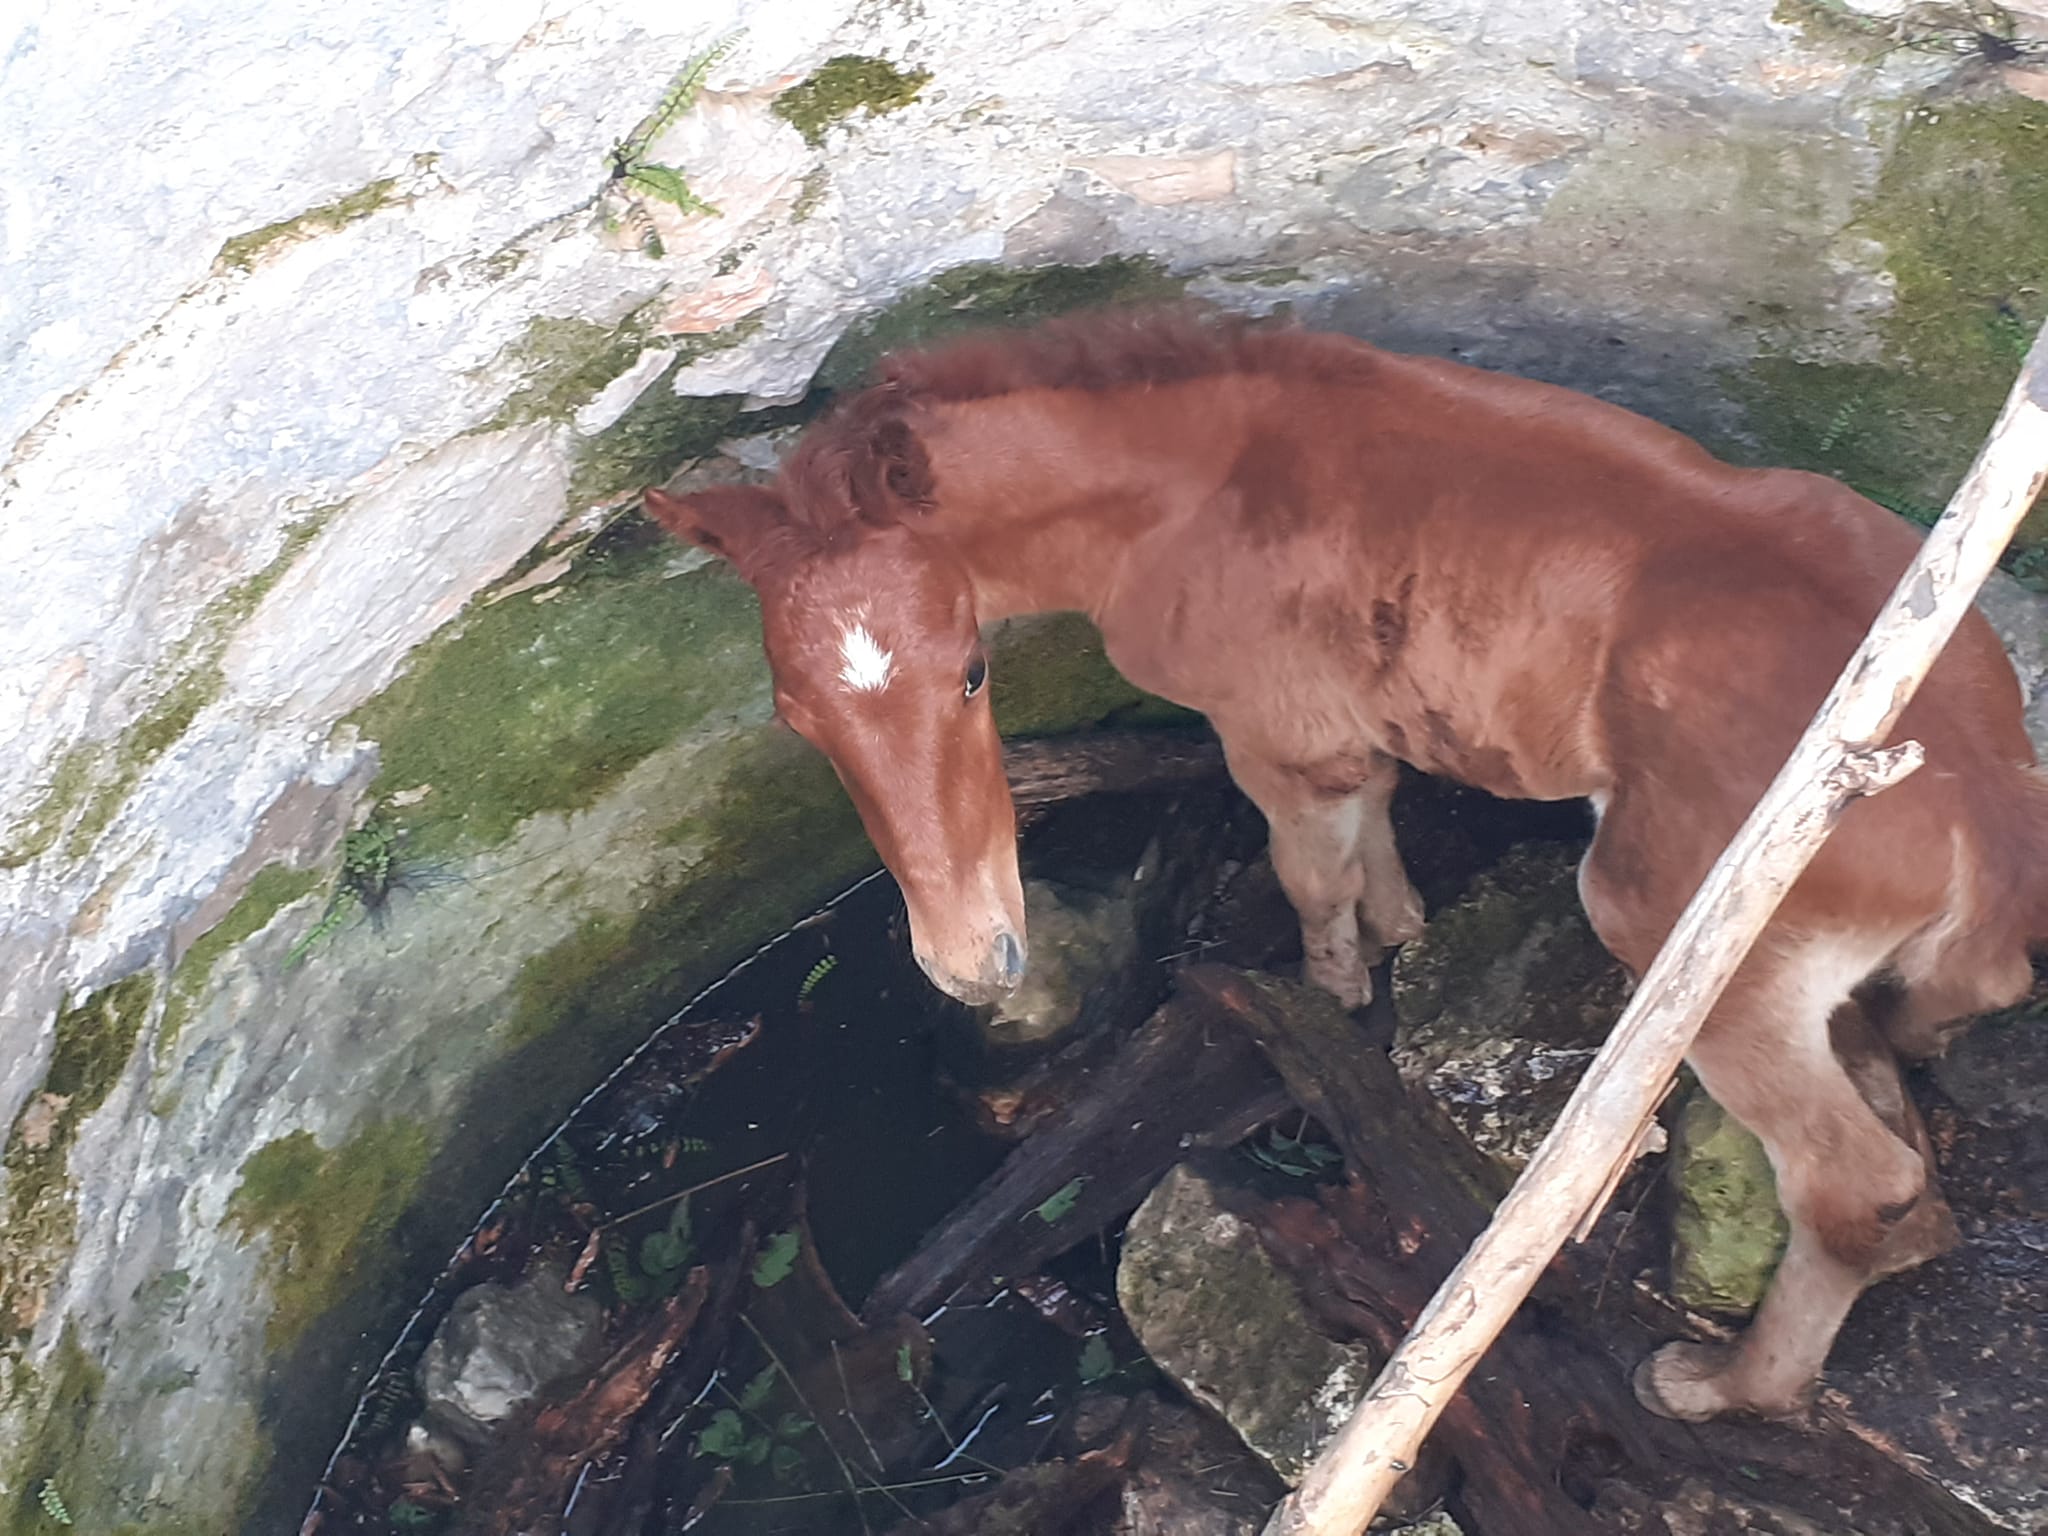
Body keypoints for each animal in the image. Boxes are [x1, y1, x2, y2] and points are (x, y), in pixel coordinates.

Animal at [651, 309, 2048, 1433]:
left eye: (971, 674)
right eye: (796, 721)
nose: (967, 960)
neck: (1193, 492)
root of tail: (1984, 795)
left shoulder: (1275, 742)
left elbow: (1308, 881)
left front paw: (1326, 999)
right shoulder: (1349, 729)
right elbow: (1373, 828)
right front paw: (1400, 925)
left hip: (1697, 949)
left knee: (1852, 1183)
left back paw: (1725, 1389)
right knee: (1905, 1149)